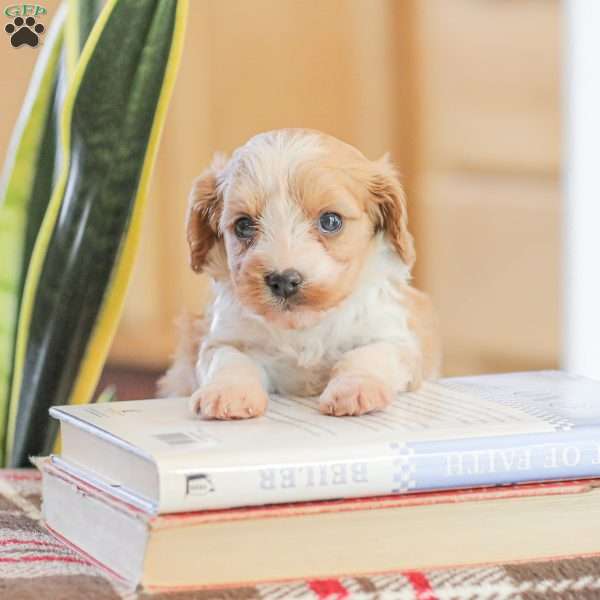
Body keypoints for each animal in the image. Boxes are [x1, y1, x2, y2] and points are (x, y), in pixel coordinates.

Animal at [159, 127, 440, 418]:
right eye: (243, 225)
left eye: (331, 221)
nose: (283, 281)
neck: (305, 327)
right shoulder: (222, 339)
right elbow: (230, 360)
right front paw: (227, 392)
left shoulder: (396, 337)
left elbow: (368, 354)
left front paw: (356, 388)